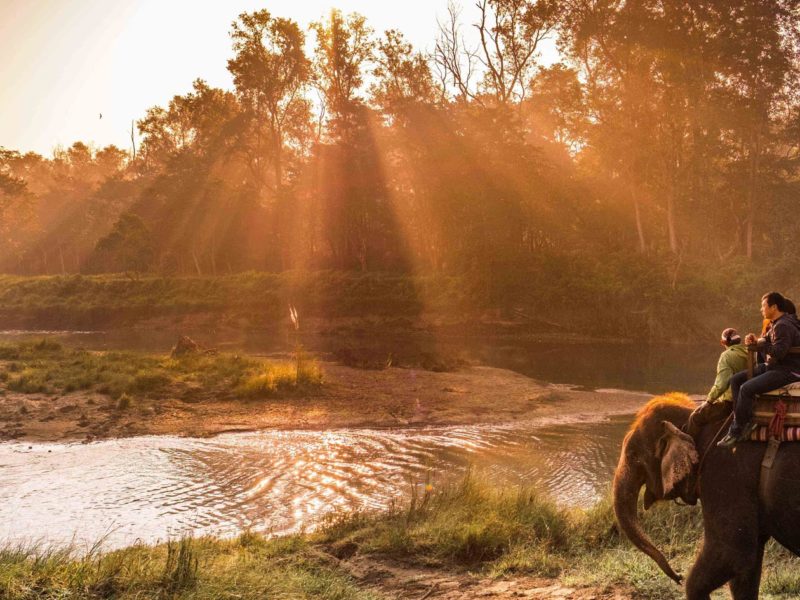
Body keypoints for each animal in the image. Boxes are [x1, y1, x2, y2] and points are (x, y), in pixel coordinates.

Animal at [612, 392, 800, 596]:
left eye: (633, 455)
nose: (678, 576)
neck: (690, 419)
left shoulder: (726, 474)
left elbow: (731, 553)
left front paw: (687, 582)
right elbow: (746, 568)